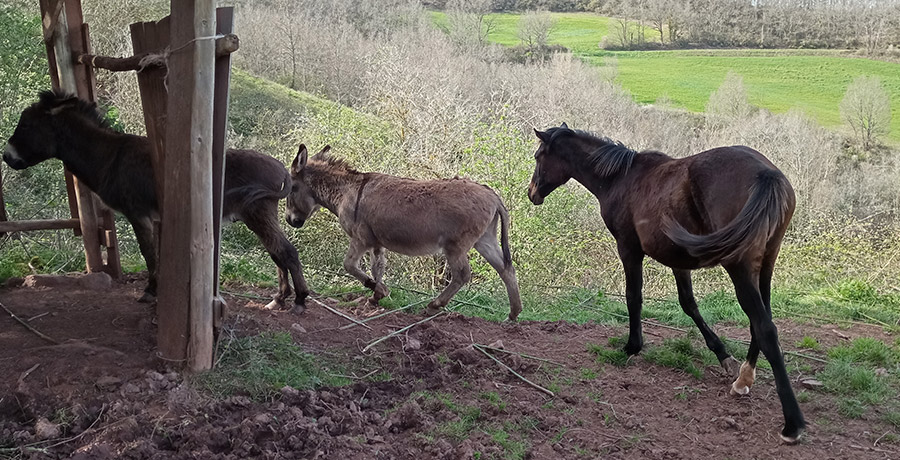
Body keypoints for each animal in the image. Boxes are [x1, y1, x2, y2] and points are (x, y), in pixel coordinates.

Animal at [2, 90, 309, 312]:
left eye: (26, 125)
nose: (6, 157)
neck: (110, 157)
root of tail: (281, 168)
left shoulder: (138, 214)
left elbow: (149, 253)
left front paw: (151, 291)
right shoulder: (157, 217)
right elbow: (158, 253)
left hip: (258, 213)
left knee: (286, 251)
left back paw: (299, 300)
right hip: (256, 216)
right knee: (277, 252)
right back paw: (280, 298)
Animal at [285, 144, 523, 320]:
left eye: (290, 188)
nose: (289, 220)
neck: (346, 191)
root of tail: (492, 196)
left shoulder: (360, 239)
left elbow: (349, 265)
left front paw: (378, 290)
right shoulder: (376, 242)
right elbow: (377, 268)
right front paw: (376, 297)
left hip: (455, 246)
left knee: (462, 274)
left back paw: (434, 305)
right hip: (484, 240)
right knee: (506, 269)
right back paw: (513, 314)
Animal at [528, 123, 803, 443]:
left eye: (538, 156)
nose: (531, 192)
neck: (621, 178)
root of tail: (766, 174)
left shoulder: (629, 249)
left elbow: (633, 297)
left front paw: (633, 346)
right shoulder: (677, 261)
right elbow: (688, 304)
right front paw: (722, 355)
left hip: (740, 267)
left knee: (764, 327)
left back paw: (793, 423)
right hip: (766, 265)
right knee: (761, 323)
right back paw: (743, 379)